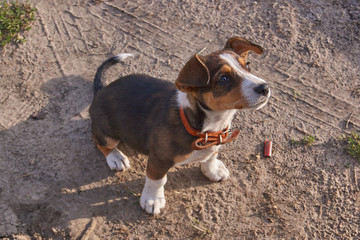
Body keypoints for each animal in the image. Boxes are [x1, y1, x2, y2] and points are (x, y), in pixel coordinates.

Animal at [89, 36, 270, 215]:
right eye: (224, 79)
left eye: (247, 65)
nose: (265, 88)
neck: (207, 127)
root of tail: (101, 90)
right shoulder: (159, 159)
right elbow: (157, 180)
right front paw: (152, 200)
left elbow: (211, 156)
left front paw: (213, 170)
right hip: (107, 135)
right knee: (100, 142)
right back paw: (116, 157)